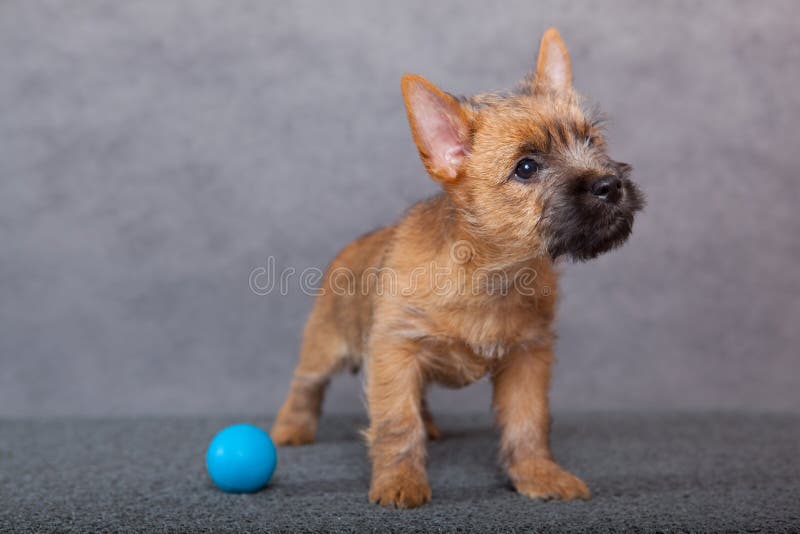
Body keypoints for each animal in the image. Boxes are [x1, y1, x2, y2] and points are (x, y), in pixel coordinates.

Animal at [272, 28, 648, 510]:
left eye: (593, 141)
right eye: (526, 167)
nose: (610, 185)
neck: (489, 272)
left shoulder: (528, 357)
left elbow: (527, 422)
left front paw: (538, 474)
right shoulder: (396, 349)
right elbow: (396, 421)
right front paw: (400, 481)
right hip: (326, 344)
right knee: (306, 383)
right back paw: (292, 428)